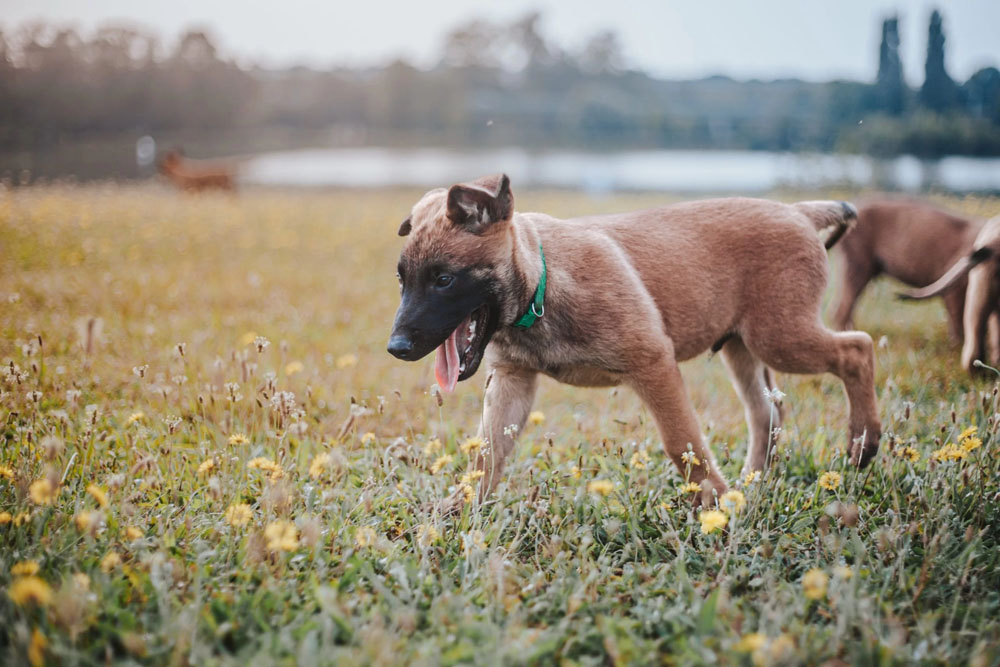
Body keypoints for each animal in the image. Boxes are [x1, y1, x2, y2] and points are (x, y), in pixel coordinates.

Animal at [386, 175, 880, 504]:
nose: (397, 348)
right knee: (766, 411)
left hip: (779, 335)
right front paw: (458, 514)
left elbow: (683, 444)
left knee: (857, 349)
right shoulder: (513, 380)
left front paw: (716, 508)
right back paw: (751, 483)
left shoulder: (653, 362)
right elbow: (486, 455)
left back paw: (863, 442)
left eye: (444, 280)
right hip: (742, 346)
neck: (542, 282)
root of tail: (799, 212)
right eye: (402, 280)